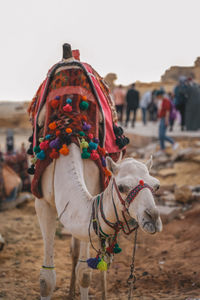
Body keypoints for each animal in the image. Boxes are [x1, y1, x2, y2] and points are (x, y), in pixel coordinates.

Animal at [34, 142, 162, 298]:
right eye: (121, 187)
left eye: (157, 186)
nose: (153, 217)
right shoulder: (42, 203)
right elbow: (46, 280)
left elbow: (84, 273)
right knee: (76, 249)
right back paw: (71, 293)